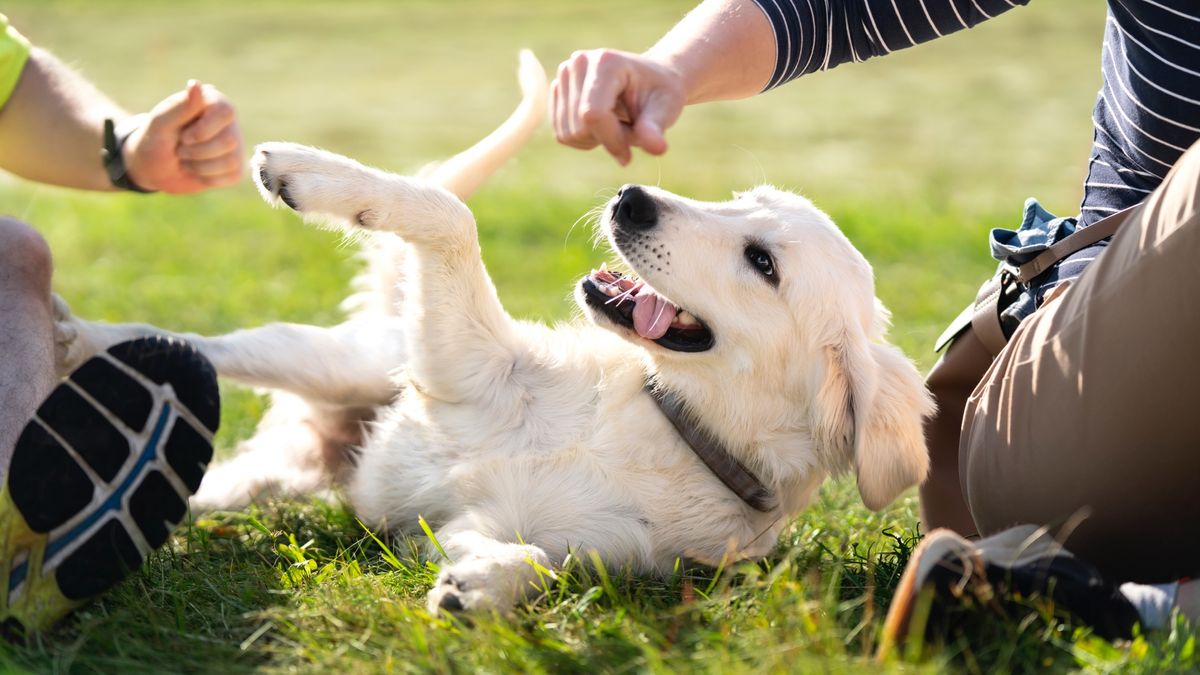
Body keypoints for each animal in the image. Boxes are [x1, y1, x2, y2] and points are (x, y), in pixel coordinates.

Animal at [54, 51, 936, 610]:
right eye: (742, 198)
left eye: (762, 262)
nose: (631, 199)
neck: (666, 423)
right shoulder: (461, 367)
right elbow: (449, 211)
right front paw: (313, 170)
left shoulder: (481, 531)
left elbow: (541, 561)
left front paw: (484, 589)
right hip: (335, 358)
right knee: (198, 346)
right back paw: (78, 334)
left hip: (272, 473)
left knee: (206, 461)